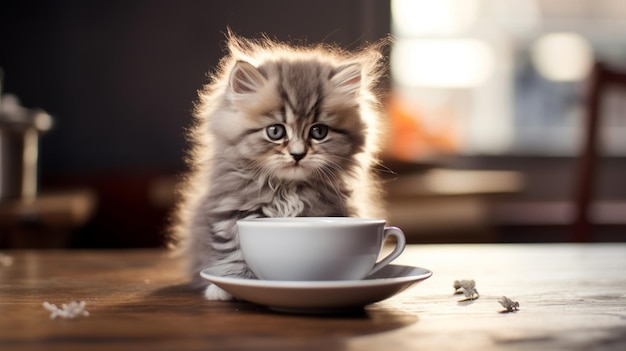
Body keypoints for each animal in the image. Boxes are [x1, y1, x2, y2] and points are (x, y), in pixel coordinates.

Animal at [171, 33, 386, 302]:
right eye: (275, 131)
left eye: (318, 131)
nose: (297, 154)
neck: (286, 189)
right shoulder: (228, 210)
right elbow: (232, 251)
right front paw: (227, 285)